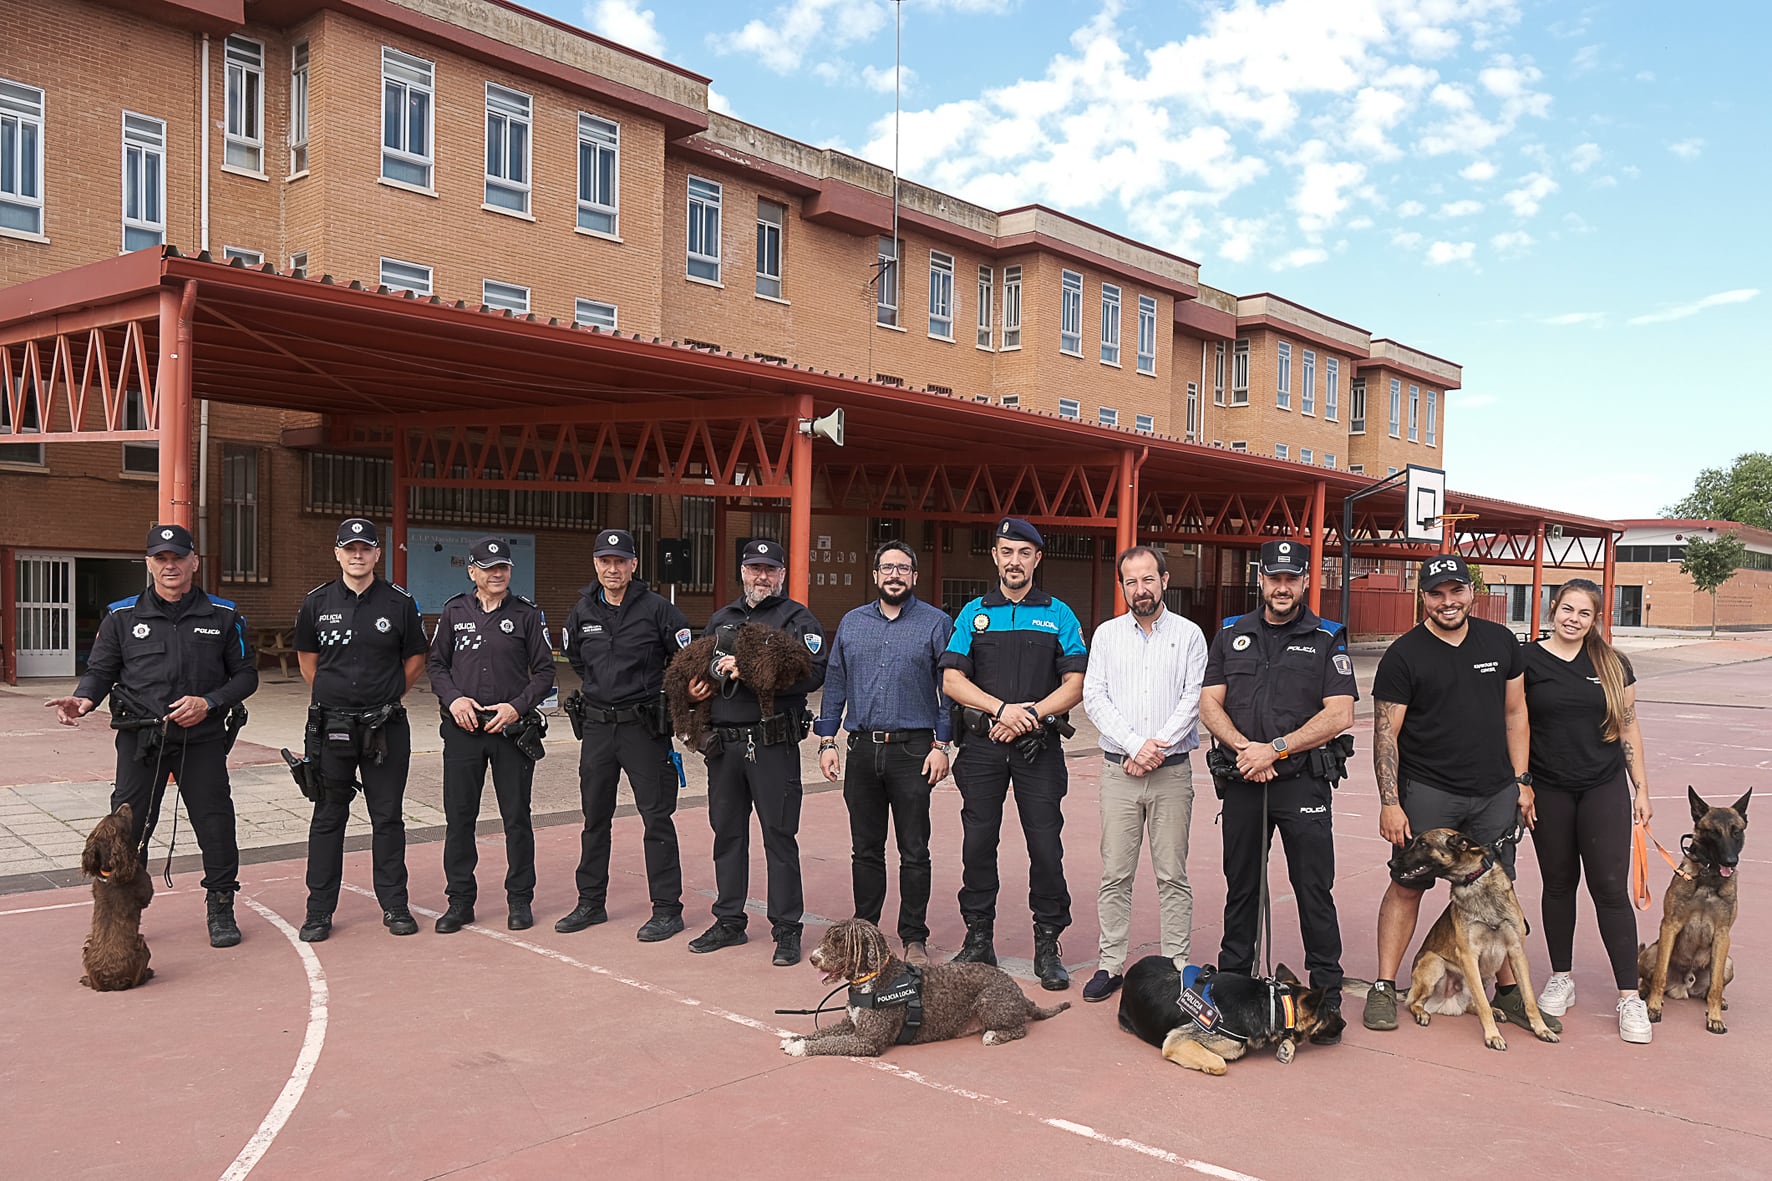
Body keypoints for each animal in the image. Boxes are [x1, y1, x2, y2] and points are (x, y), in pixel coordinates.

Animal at [80, 805, 155, 985]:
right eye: (120, 817)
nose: (126, 804)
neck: (110, 870)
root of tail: (109, 979)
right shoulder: (145, 890)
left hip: (88, 947)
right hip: (142, 946)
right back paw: (148, 973)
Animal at [666, 617, 815, 744]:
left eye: (793, 671)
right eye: (782, 671)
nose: (787, 685)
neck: (764, 643)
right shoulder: (755, 674)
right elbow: (765, 697)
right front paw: (769, 720)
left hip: (708, 692)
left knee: (700, 712)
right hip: (678, 682)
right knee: (678, 706)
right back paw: (683, 731)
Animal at [779, 915, 1063, 1049]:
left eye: (840, 942)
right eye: (828, 938)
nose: (813, 959)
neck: (875, 979)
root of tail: (1019, 992)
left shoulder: (867, 1041)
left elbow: (827, 1043)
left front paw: (800, 1048)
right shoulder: (850, 1024)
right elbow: (821, 1033)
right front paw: (795, 1039)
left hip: (988, 1001)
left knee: (1020, 1028)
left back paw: (993, 1036)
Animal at [1389, 826, 1559, 1049]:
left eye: (1423, 844)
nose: (1391, 863)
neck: (1474, 880)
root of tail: (1447, 1004)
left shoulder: (1516, 952)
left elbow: (1528, 998)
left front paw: (1542, 1029)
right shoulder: (1469, 956)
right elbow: (1482, 1003)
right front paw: (1493, 1036)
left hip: (1486, 971)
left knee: (1474, 1004)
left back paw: (1495, 1012)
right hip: (1434, 961)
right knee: (1415, 1002)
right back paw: (1422, 1013)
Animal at [1637, 790, 1750, 1028]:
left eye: (1736, 832)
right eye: (1713, 833)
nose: (1731, 861)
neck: (1708, 878)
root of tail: (1685, 986)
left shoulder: (1723, 935)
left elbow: (1715, 987)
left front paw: (1715, 1018)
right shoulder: (1670, 926)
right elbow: (1659, 976)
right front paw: (1653, 1008)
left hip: (1728, 962)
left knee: (1712, 988)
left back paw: (1719, 1002)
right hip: (1651, 952)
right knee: (1650, 978)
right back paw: (1644, 992)